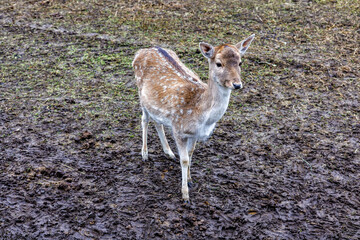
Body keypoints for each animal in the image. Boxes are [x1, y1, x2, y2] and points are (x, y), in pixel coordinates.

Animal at [133, 34, 256, 202]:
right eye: (219, 63)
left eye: (240, 62)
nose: (237, 84)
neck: (202, 116)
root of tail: (142, 50)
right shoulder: (178, 129)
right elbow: (184, 159)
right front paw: (185, 195)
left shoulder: (195, 134)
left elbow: (190, 154)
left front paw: (190, 180)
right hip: (140, 95)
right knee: (144, 120)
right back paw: (144, 154)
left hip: (155, 106)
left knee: (157, 122)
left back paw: (168, 152)